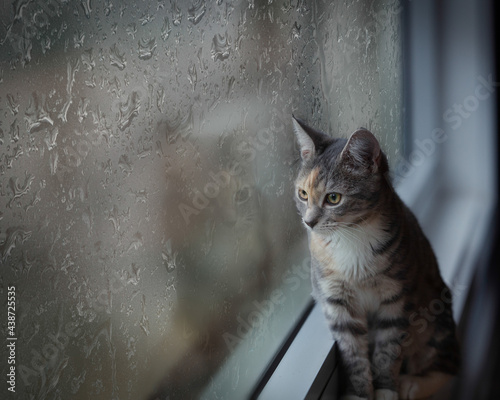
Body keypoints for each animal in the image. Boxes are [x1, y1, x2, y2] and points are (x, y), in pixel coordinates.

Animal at [292, 117, 460, 400]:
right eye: (302, 194)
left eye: (333, 198)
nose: (309, 222)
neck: (351, 237)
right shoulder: (336, 301)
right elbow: (352, 354)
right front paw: (359, 393)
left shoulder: (397, 298)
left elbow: (388, 351)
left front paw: (385, 390)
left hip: (437, 319)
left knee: (447, 365)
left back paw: (412, 384)